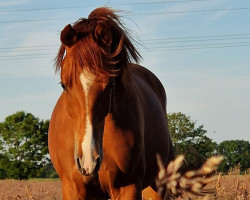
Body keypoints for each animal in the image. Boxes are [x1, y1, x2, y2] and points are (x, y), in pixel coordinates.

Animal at [48, 7, 174, 199]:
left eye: (111, 84)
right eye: (63, 85)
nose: (88, 161)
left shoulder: (128, 187)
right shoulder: (73, 188)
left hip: (157, 186)